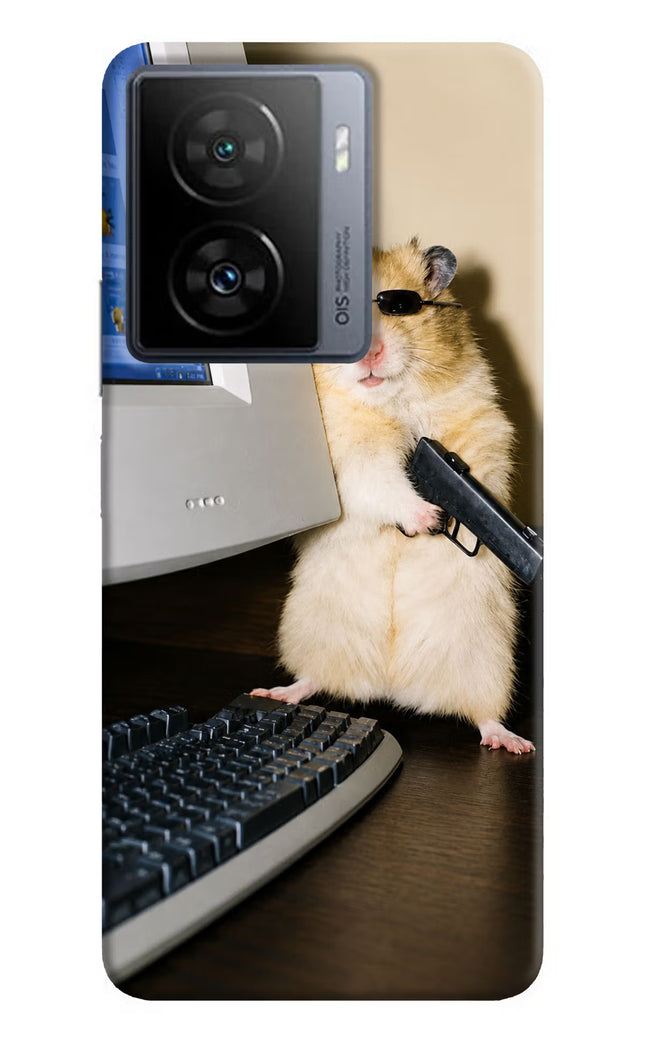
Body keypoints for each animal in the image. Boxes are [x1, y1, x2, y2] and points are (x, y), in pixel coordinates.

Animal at [252, 239, 534, 754]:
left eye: (400, 307)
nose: (369, 353)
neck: (391, 400)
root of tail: (393, 686)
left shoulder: (481, 425)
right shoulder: (348, 459)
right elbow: (381, 482)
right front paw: (428, 518)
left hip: (489, 660)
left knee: (484, 714)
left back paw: (512, 742)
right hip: (310, 632)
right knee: (312, 679)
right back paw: (276, 692)